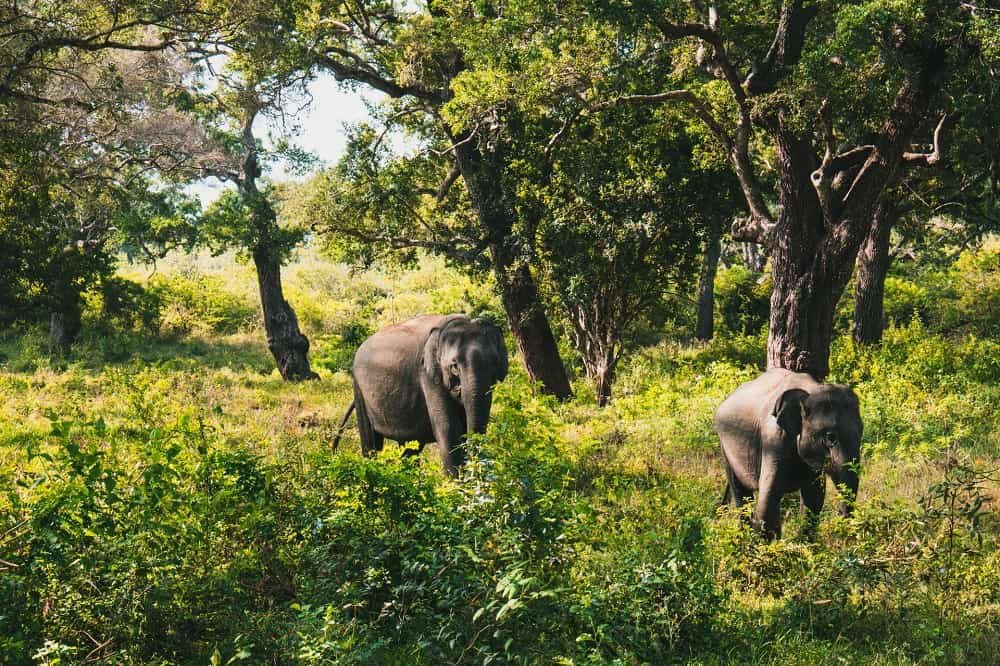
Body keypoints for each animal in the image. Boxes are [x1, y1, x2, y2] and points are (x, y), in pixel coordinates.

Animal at [334, 314, 508, 474]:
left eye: (494, 363)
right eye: (454, 367)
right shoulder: (428, 376)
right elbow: (448, 428)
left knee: (409, 447)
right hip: (359, 390)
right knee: (371, 442)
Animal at [716, 368, 864, 540]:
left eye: (861, 432)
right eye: (830, 437)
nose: (839, 517)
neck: (810, 389)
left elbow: (814, 496)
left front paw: (805, 543)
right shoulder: (773, 440)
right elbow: (769, 494)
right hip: (725, 447)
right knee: (740, 492)